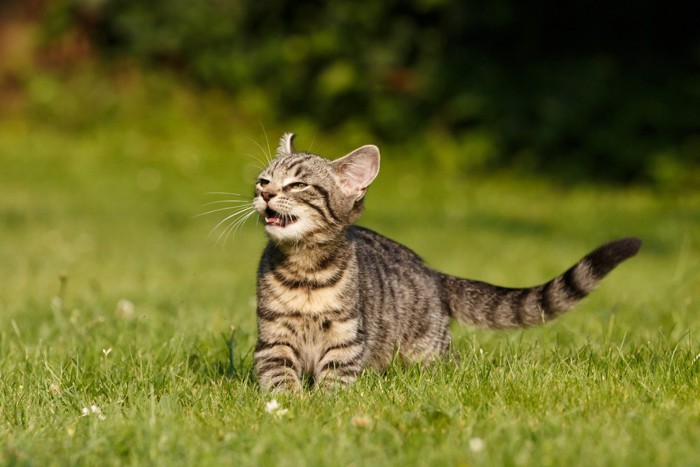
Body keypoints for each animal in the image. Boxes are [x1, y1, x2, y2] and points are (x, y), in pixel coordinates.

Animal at [250, 133, 640, 392]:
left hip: (426, 351)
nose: (265, 193)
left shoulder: (346, 339)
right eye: (263, 180)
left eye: (298, 185)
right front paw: (290, 406)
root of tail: (431, 271)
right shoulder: (272, 339)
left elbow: (336, 381)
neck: (305, 270)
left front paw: (324, 405)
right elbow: (278, 377)